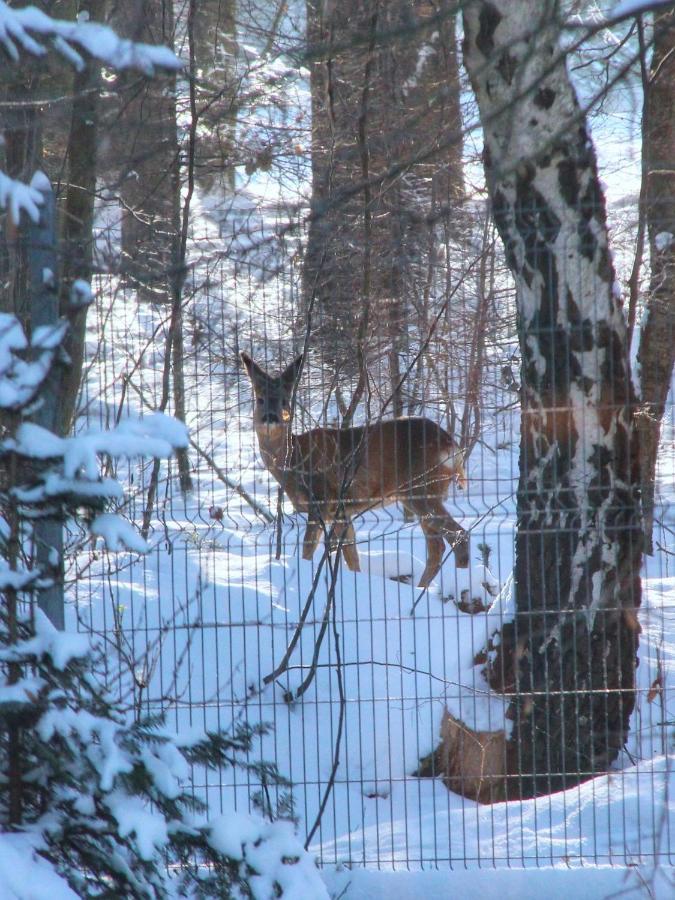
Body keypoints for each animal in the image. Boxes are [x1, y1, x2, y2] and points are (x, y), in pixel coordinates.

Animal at [242, 352, 470, 592]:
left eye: (285, 400)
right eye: (260, 399)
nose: (271, 417)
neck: (293, 460)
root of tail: (453, 446)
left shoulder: (322, 500)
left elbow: (308, 550)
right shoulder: (342, 511)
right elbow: (352, 558)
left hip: (423, 489)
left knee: (457, 537)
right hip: (418, 494)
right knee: (437, 546)